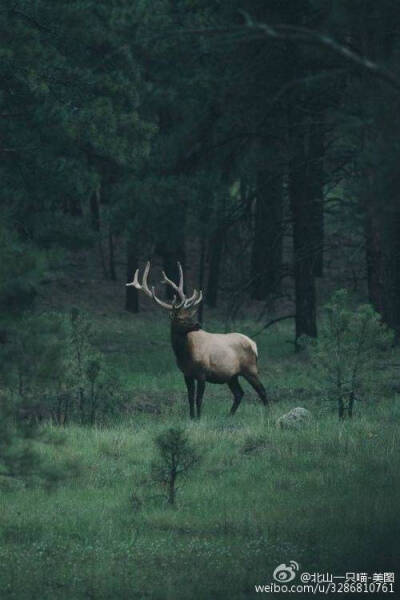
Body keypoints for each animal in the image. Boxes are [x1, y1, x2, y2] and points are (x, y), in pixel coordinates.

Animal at [127, 260, 268, 420]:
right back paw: (229, 415)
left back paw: (268, 414)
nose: (198, 324)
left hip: (251, 369)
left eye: (190, 315)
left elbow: (199, 398)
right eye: (180, 318)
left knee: (262, 391)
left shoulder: (202, 372)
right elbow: (190, 397)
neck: (185, 355)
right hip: (232, 375)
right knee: (239, 393)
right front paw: (191, 417)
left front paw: (199, 418)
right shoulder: (186, 374)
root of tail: (254, 344)